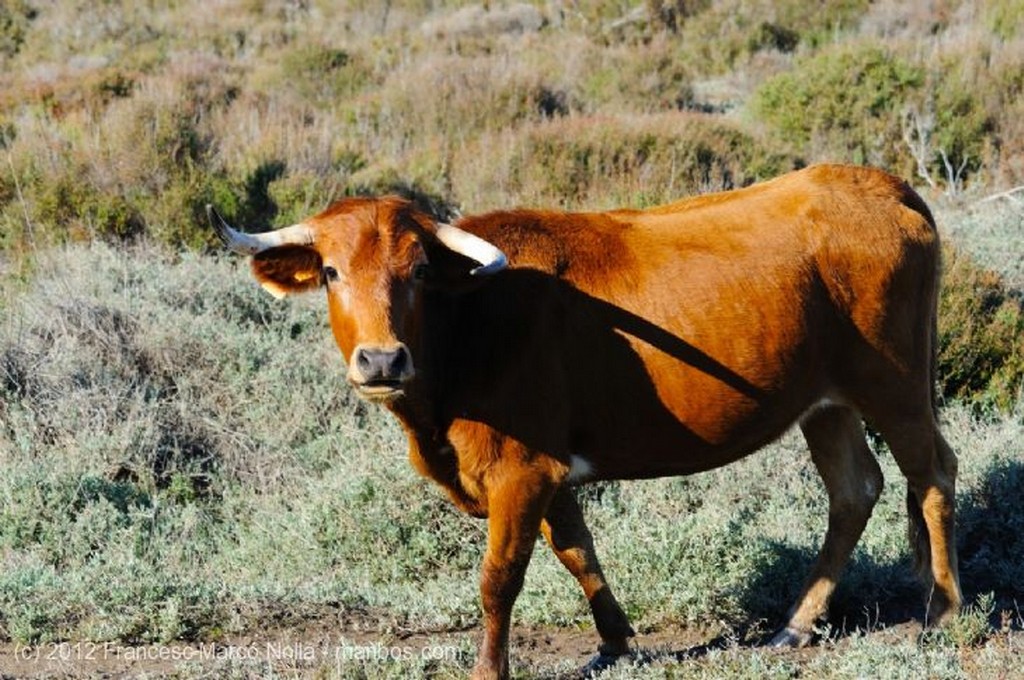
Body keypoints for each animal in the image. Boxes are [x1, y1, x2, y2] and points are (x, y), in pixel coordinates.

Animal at [211, 165, 962, 680]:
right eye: (331, 272)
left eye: (419, 270)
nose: (382, 359)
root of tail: (876, 181)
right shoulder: (549, 468)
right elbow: (577, 550)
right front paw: (615, 641)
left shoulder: (521, 470)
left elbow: (499, 576)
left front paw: (489, 669)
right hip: (825, 403)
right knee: (855, 489)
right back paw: (797, 625)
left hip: (894, 384)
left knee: (931, 474)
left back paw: (944, 610)